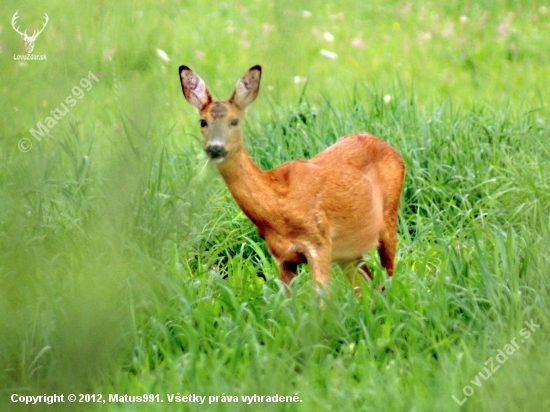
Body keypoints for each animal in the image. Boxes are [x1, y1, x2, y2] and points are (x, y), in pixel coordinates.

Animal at [180, 64, 406, 294]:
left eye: (234, 121)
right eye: (203, 122)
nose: (215, 148)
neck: (279, 204)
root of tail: (392, 150)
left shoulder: (319, 242)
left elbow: (322, 298)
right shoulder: (282, 257)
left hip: (388, 219)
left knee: (388, 277)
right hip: (349, 251)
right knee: (367, 284)